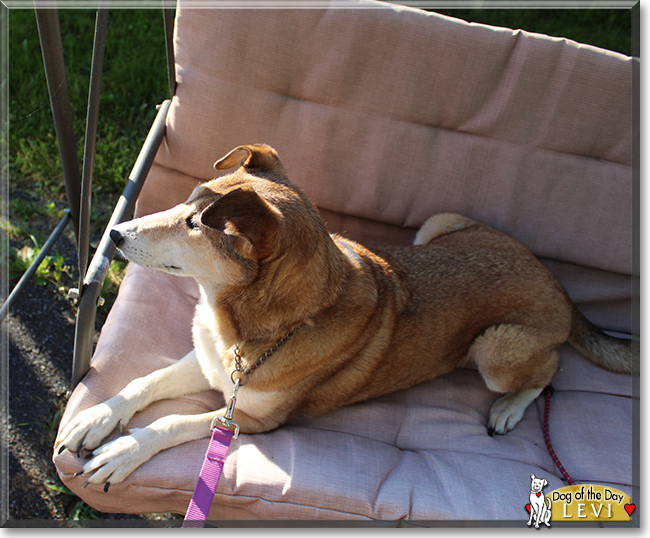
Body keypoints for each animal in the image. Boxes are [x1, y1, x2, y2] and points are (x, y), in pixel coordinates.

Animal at [55, 144, 632, 488]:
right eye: (184, 202)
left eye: (196, 224)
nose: (114, 234)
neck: (241, 323)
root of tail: (557, 284)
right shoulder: (212, 364)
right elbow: (144, 382)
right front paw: (96, 417)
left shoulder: (253, 420)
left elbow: (172, 420)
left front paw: (123, 450)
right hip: (437, 224)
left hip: (495, 348)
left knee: (549, 370)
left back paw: (509, 409)